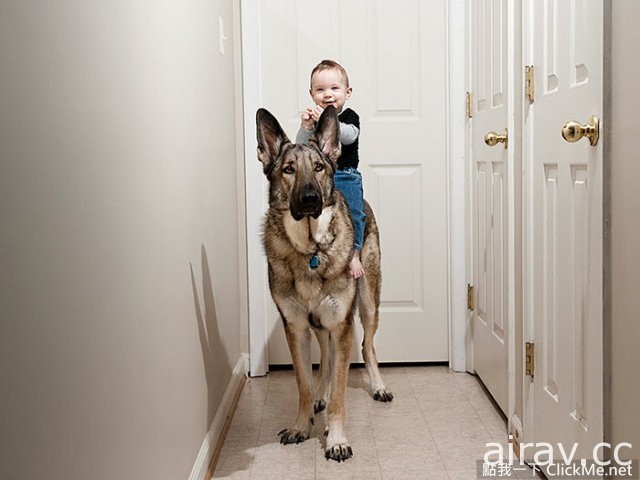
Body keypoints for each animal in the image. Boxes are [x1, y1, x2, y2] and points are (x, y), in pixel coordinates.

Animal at [255, 106, 390, 462]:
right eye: (288, 169)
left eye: (318, 167)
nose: (310, 198)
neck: (309, 249)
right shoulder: (297, 328)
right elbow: (303, 383)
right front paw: (302, 425)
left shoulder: (341, 325)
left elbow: (341, 393)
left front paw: (337, 439)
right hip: (320, 324)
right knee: (327, 359)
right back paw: (320, 396)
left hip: (368, 304)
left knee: (367, 346)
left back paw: (378, 386)